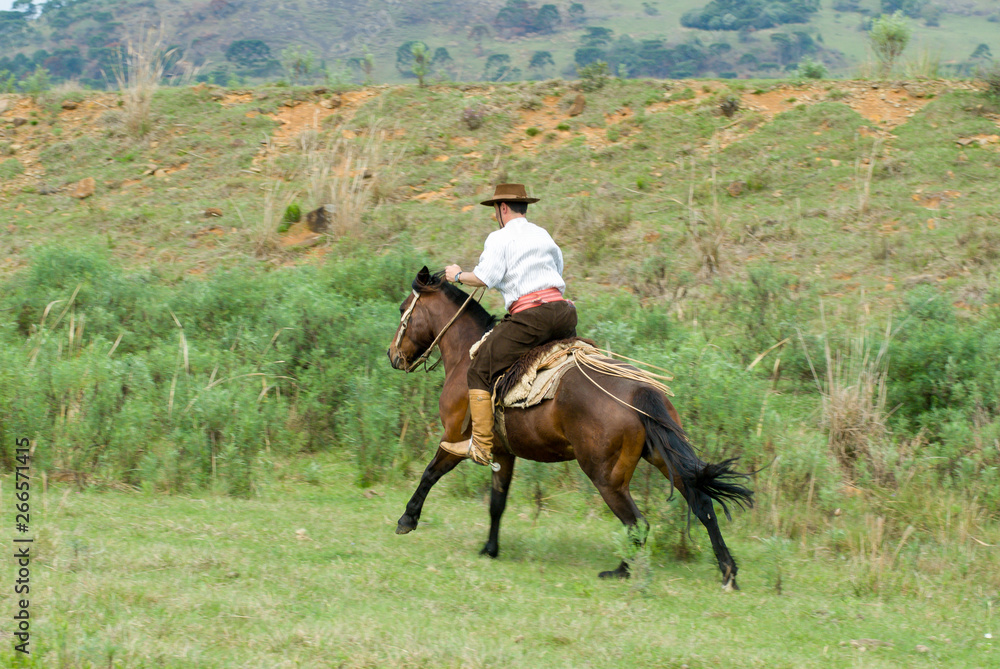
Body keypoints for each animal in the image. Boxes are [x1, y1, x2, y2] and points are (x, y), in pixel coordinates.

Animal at [386, 268, 752, 588]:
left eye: (404, 309)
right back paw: (727, 571)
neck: (467, 354)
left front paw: (407, 519)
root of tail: (639, 391)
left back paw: (621, 571)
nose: (393, 356)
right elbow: (497, 502)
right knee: (701, 504)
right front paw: (490, 549)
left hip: (606, 477)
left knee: (639, 523)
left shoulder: (456, 439)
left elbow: (430, 473)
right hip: (664, 457)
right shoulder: (503, 453)